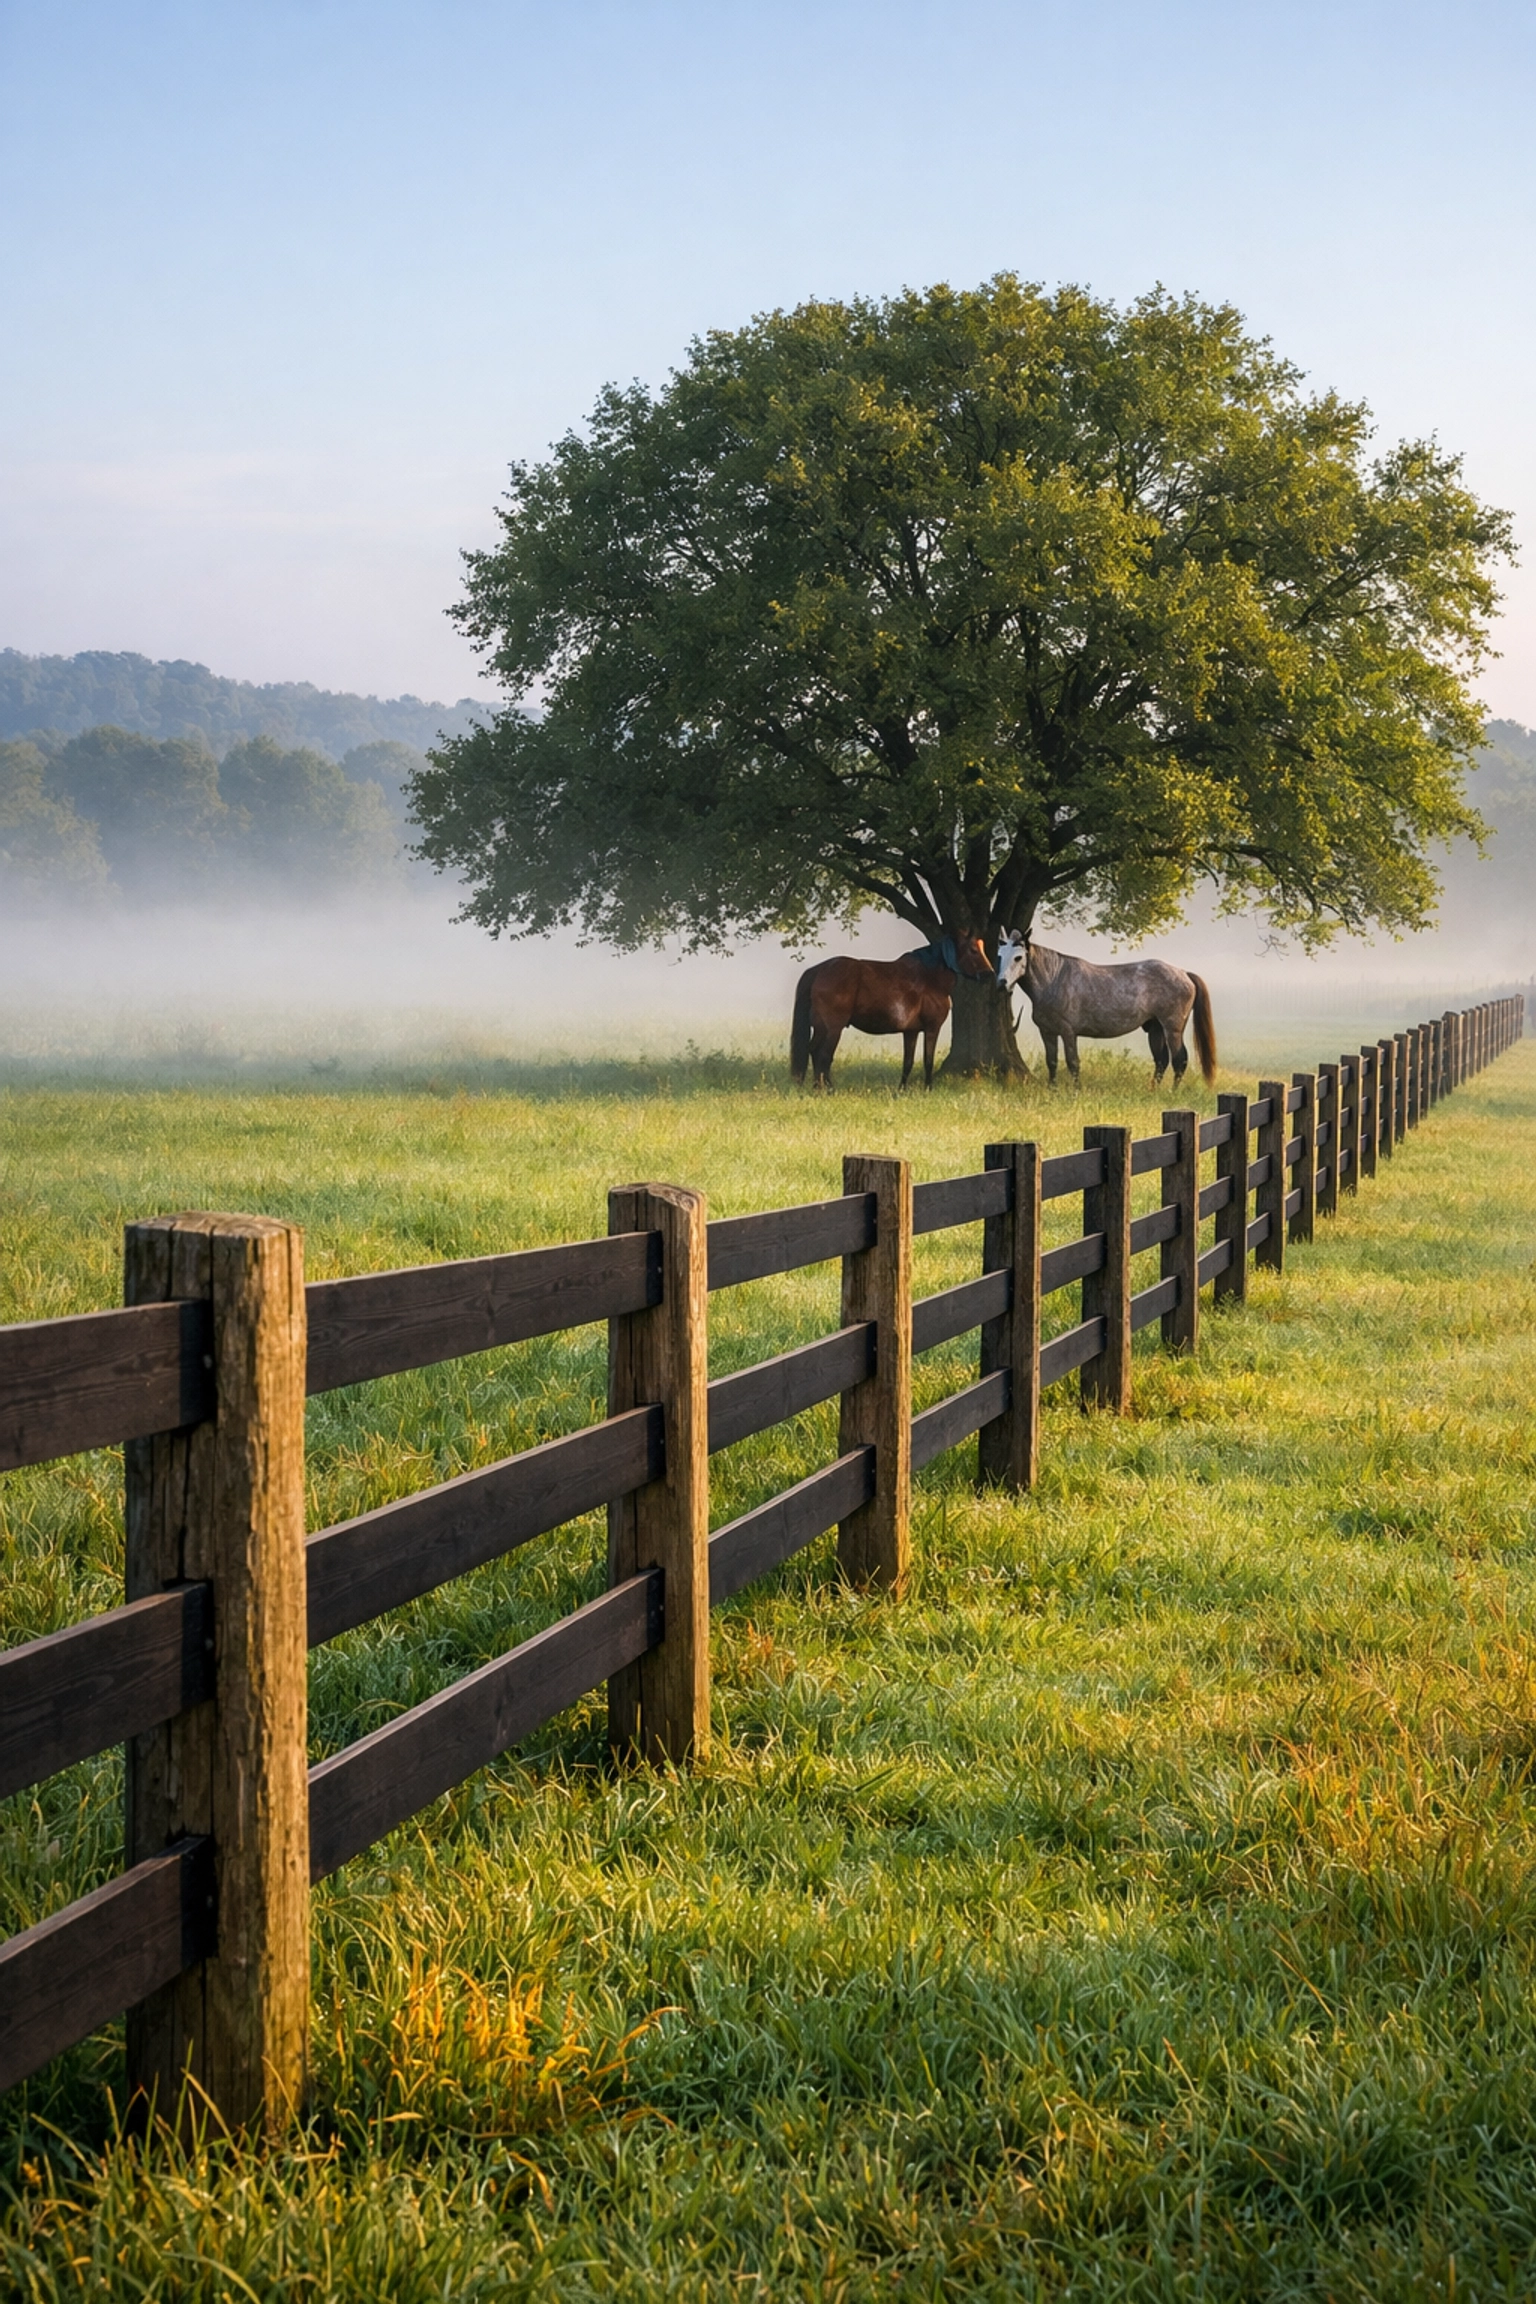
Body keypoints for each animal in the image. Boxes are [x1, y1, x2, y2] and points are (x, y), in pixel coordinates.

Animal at [791, 933, 993, 1091]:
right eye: (973, 950)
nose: (989, 974)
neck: (929, 979)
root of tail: (819, 969)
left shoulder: (911, 1032)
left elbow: (908, 1062)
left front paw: (901, 1090)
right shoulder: (932, 1029)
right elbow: (928, 1060)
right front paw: (928, 1089)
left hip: (821, 1028)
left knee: (813, 1051)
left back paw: (816, 1087)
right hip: (833, 1029)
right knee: (824, 1055)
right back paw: (828, 1089)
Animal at [995, 930, 1217, 1087]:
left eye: (1018, 957)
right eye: (999, 956)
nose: (1001, 984)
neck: (1054, 979)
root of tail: (1184, 973)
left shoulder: (1068, 1032)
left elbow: (1073, 1063)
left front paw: (1076, 1092)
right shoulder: (1047, 1032)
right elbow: (1052, 1062)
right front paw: (1053, 1090)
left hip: (1172, 1028)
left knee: (1180, 1060)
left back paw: (1172, 1092)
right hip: (1155, 1028)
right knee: (1161, 1061)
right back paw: (1153, 1090)